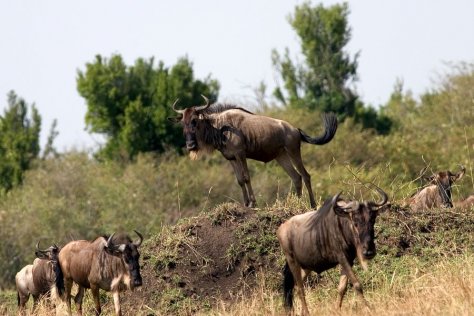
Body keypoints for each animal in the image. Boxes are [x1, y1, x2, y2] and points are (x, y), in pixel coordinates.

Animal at [169, 95, 336, 209]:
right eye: (183, 122)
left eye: (194, 121)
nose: (190, 145)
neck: (219, 127)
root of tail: (295, 129)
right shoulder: (231, 158)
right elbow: (239, 180)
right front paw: (246, 203)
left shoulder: (241, 154)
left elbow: (247, 177)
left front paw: (253, 203)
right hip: (281, 157)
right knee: (296, 177)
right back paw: (299, 203)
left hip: (293, 152)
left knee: (305, 175)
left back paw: (313, 205)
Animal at [278, 188, 388, 316]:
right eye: (355, 221)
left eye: (372, 220)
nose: (369, 252)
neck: (344, 226)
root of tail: (280, 229)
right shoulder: (341, 258)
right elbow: (357, 284)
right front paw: (369, 308)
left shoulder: (349, 260)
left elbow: (342, 288)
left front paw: (337, 310)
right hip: (292, 261)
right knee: (300, 289)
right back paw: (307, 312)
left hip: (306, 267)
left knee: (296, 287)